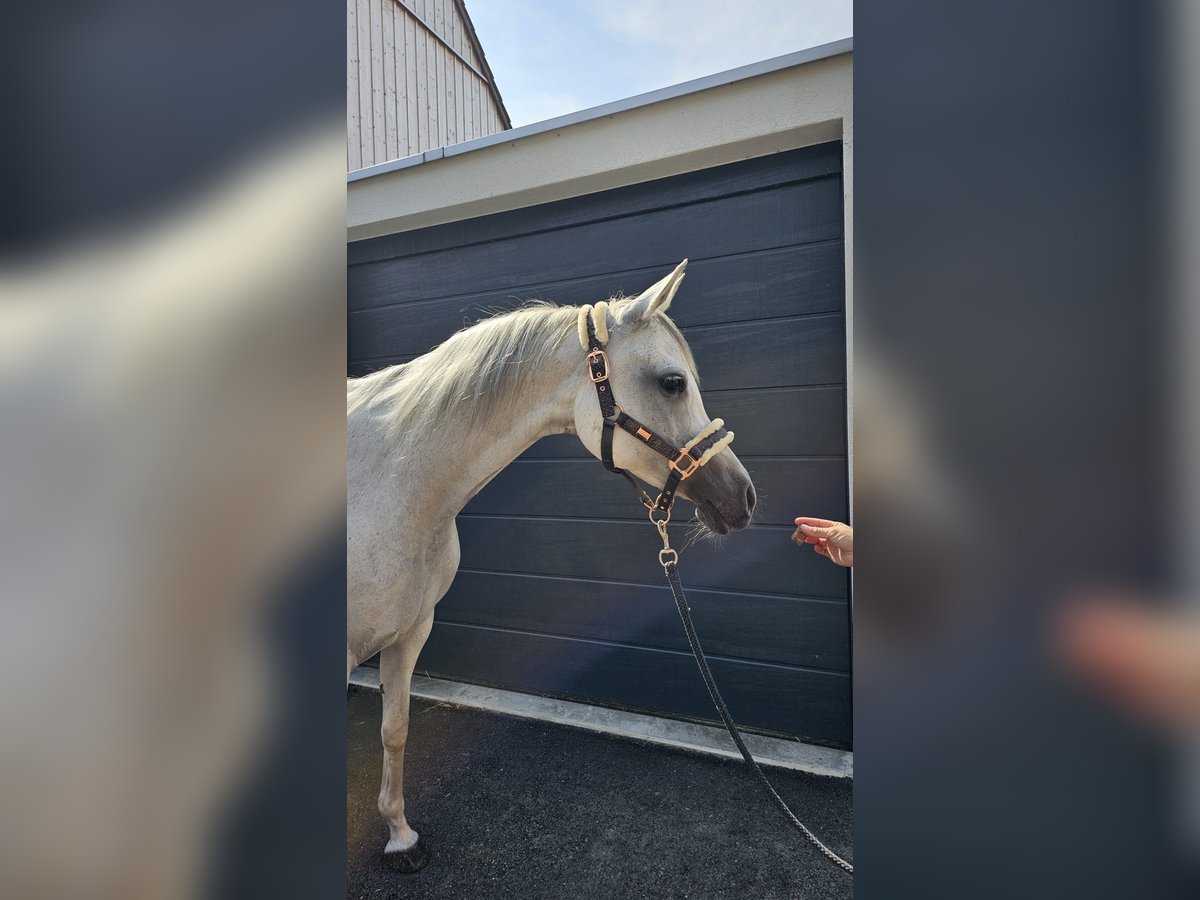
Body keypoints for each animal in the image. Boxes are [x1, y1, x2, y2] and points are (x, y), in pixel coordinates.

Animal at [350, 262, 758, 873]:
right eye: (672, 382)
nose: (744, 497)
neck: (393, 479)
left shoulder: (411, 630)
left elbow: (394, 730)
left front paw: (401, 838)